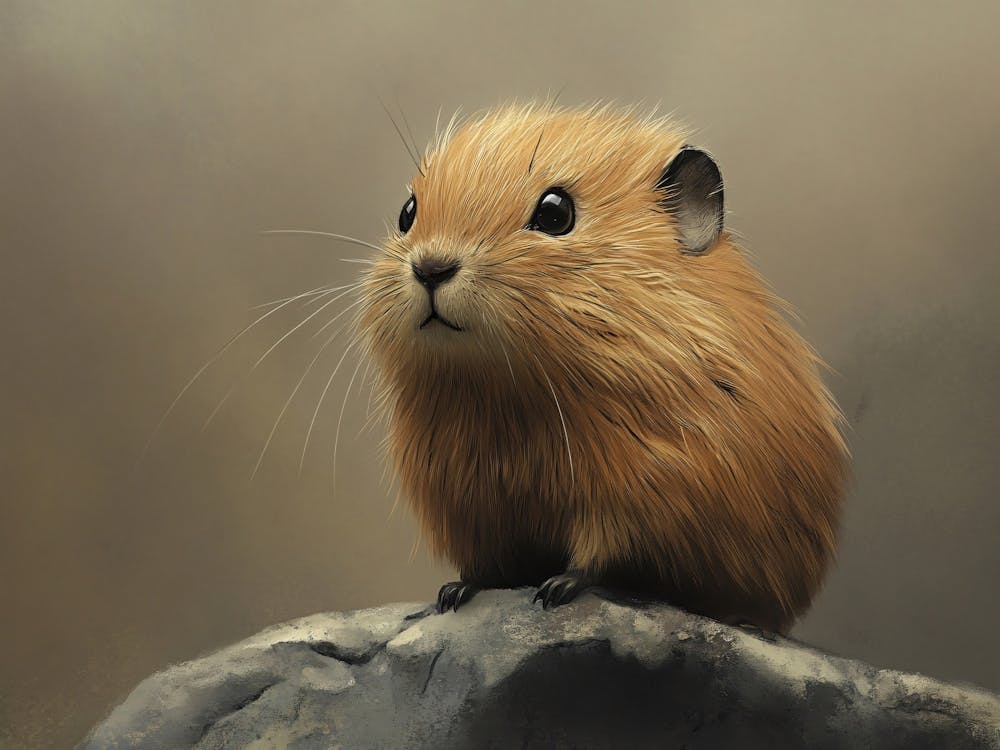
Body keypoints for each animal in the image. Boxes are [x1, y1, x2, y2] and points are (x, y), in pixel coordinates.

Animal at [358, 103, 849, 634]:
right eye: (408, 213)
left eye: (555, 213)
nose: (431, 268)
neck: (509, 403)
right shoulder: (468, 507)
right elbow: (485, 569)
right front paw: (454, 592)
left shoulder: (641, 486)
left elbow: (597, 556)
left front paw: (555, 589)